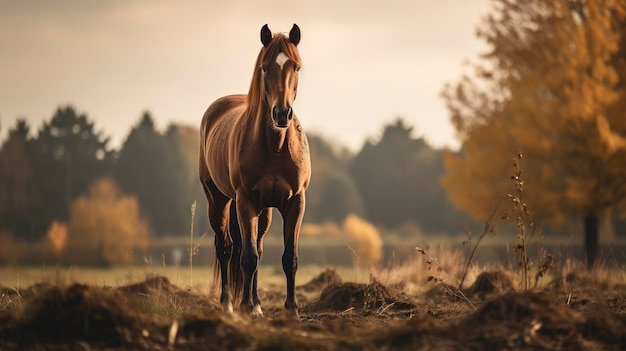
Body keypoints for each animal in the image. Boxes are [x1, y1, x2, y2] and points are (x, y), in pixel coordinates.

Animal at [199, 22, 308, 320]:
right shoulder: (245, 200)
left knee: (256, 246)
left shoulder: (295, 202)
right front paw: (246, 307)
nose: (281, 114)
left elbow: (289, 258)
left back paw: (257, 303)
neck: (275, 147)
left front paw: (292, 310)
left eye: (296, 67)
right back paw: (229, 304)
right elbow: (246, 258)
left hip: (265, 210)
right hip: (219, 200)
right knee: (227, 248)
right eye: (264, 68)